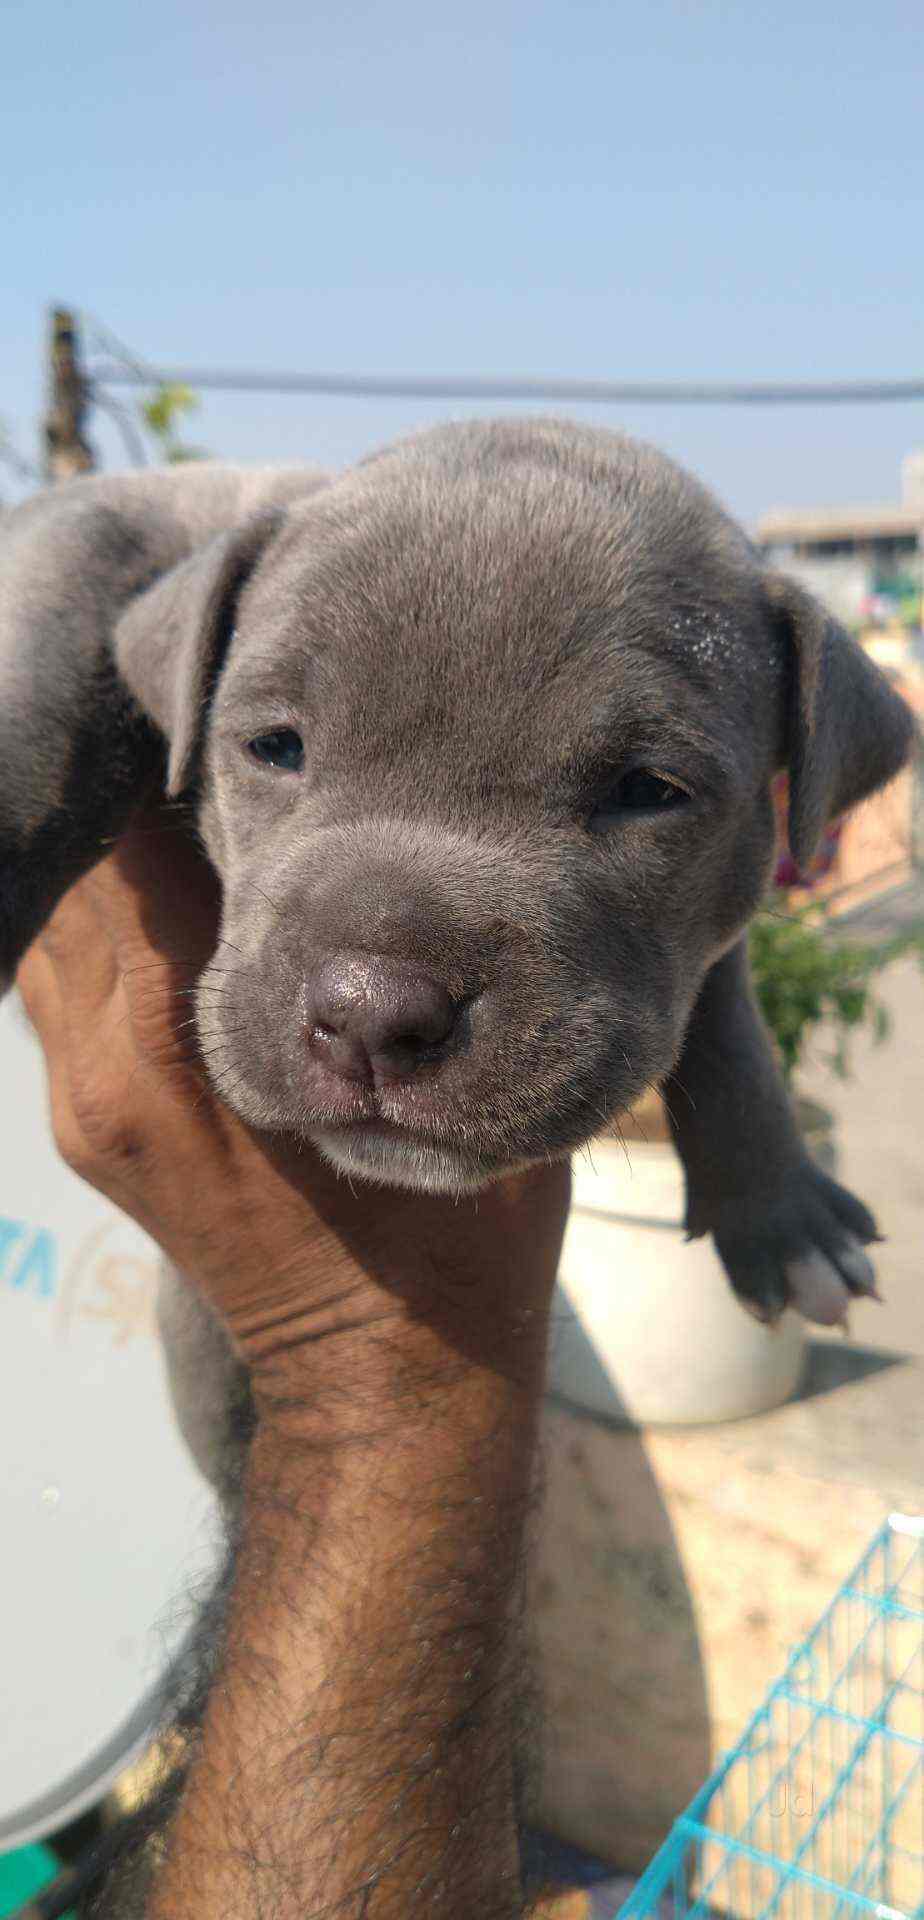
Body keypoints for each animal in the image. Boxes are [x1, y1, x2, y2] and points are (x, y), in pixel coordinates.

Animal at [0, 419, 915, 1352]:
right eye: (275, 747)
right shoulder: (114, 524)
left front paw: (782, 1212)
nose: (372, 1012)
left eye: (651, 790)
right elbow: (48, 690)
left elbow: (729, 1018)